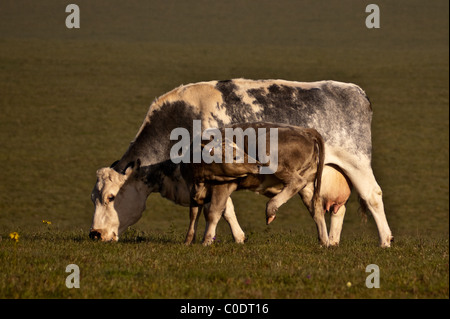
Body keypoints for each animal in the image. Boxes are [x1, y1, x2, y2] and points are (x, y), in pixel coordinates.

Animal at [89, 78, 392, 248]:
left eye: (111, 197)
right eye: (93, 197)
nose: (95, 234)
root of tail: (356, 91)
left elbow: (221, 209)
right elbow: (225, 209)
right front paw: (236, 237)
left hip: (357, 162)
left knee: (373, 195)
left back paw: (385, 241)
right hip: (331, 173)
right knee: (336, 207)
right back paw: (333, 241)